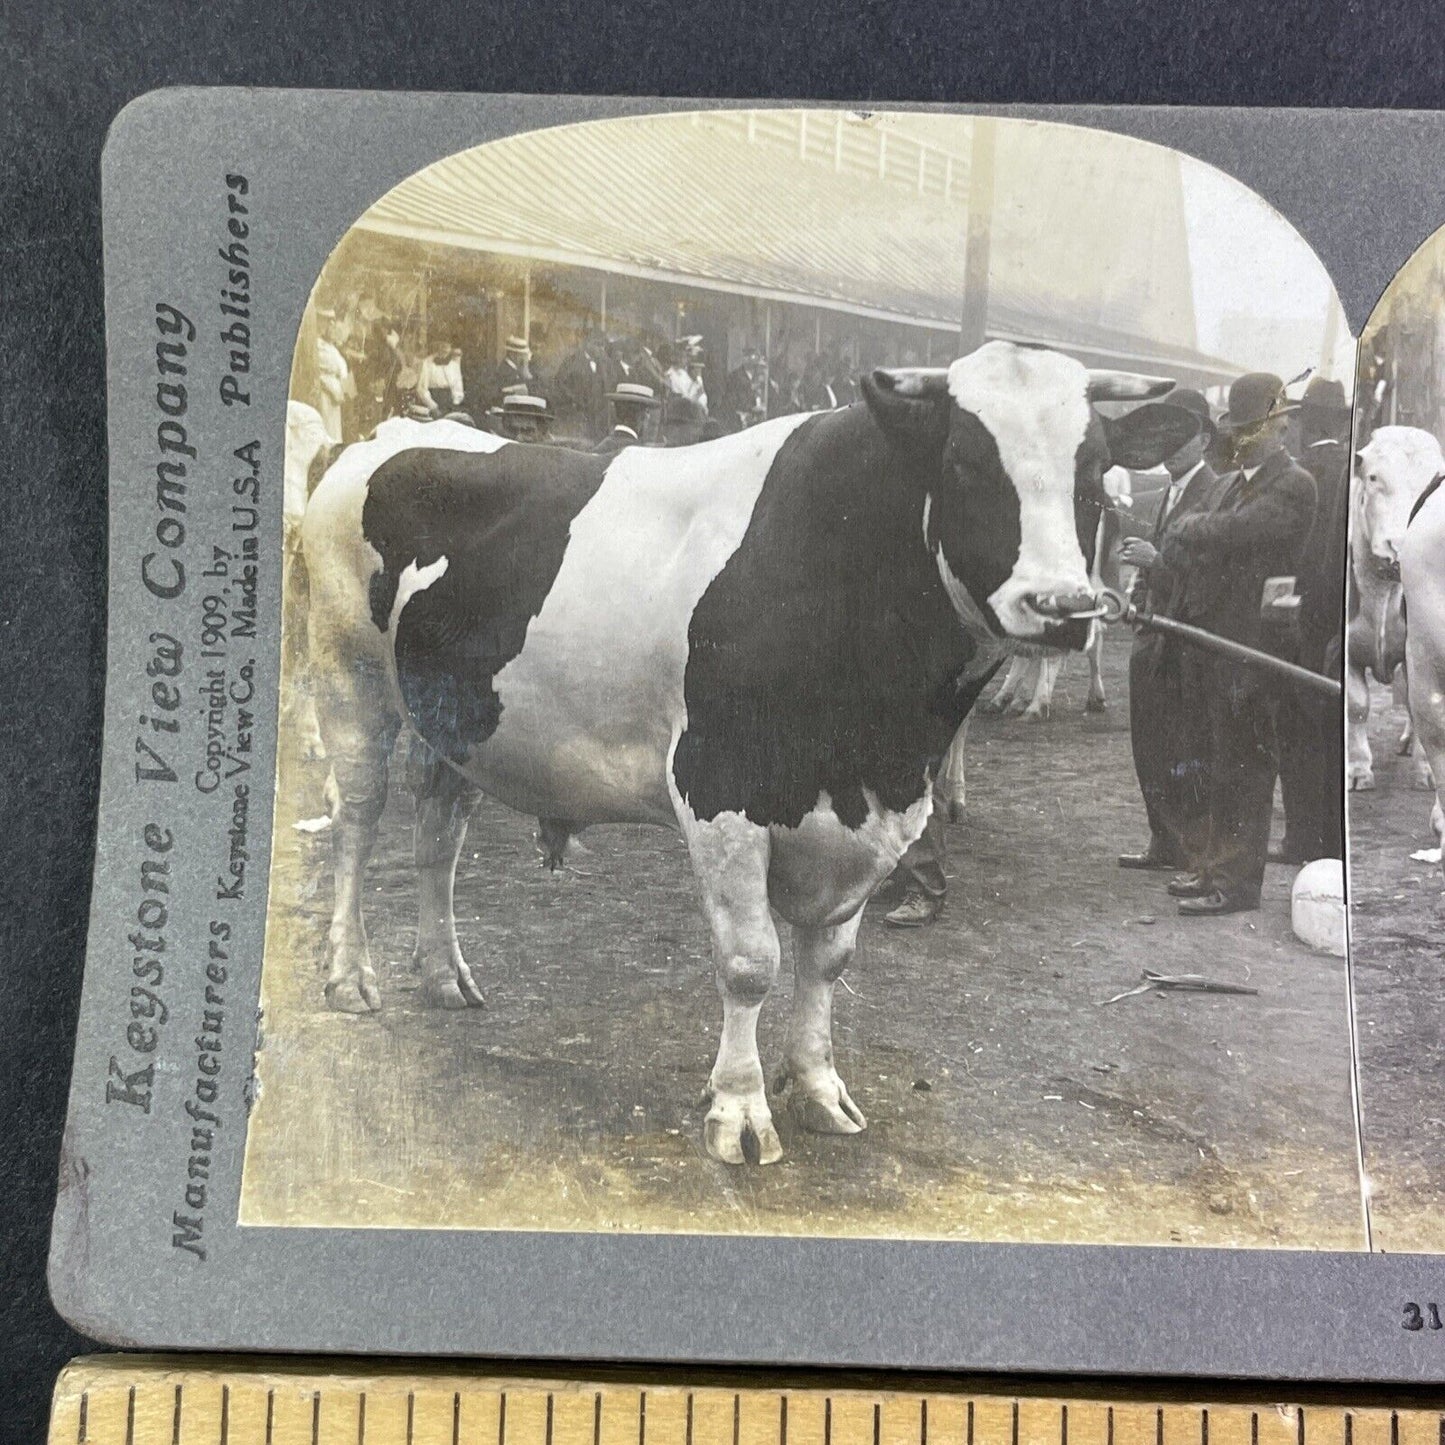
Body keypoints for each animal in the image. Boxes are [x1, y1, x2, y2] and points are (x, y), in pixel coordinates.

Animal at [304, 343, 1196, 1167]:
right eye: (965, 462)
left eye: (1094, 474)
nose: (1062, 605)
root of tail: (385, 435)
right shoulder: (719, 787)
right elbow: (749, 961)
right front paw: (738, 1110)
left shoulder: (874, 815)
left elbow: (827, 961)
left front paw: (818, 1089)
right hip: (349, 677)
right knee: (359, 821)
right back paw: (349, 975)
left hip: (460, 723)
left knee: (437, 840)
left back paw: (442, 973)